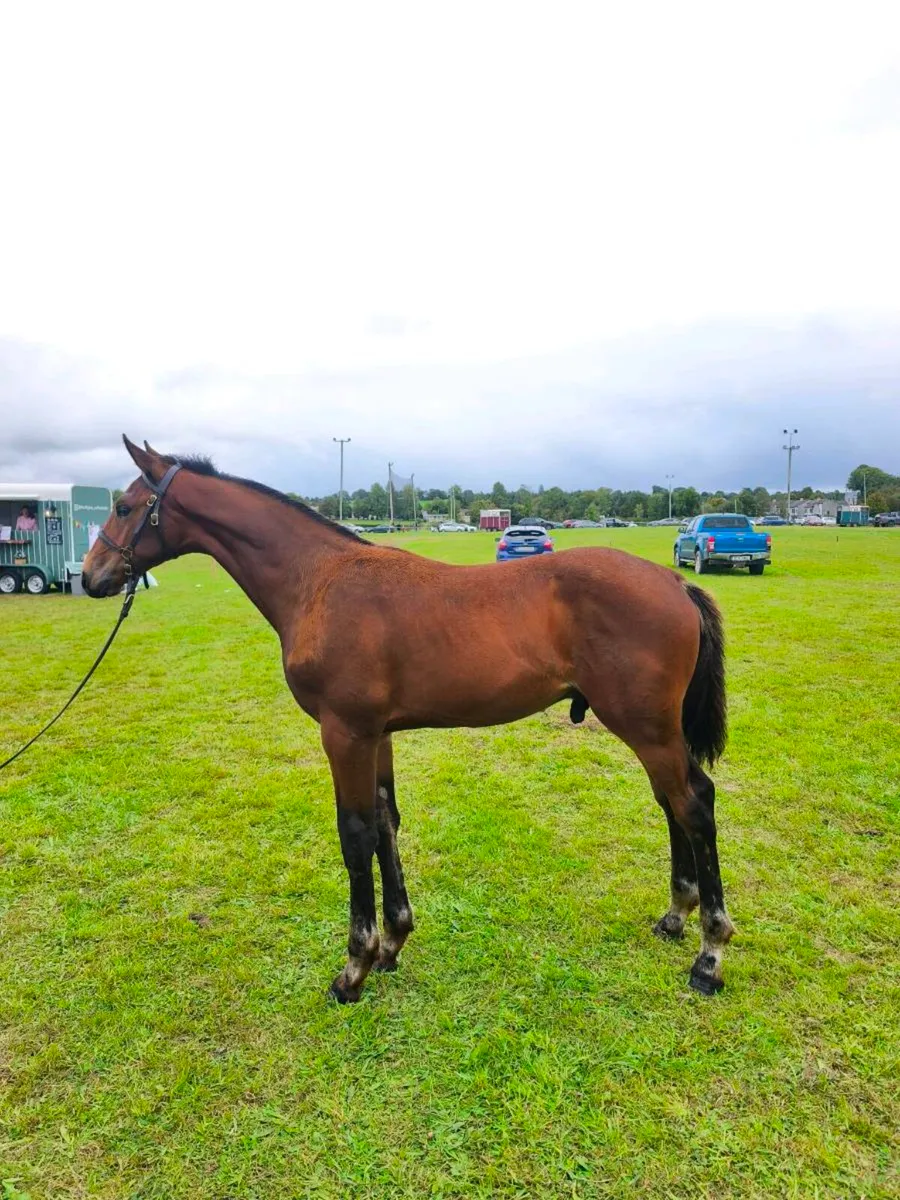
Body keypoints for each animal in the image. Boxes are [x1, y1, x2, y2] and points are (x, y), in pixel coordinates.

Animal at [82, 436, 734, 1003]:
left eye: (123, 506)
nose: (91, 577)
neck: (318, 581)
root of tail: (675, 580)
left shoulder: (343, 732)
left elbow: (355, 835)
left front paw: (355, 968)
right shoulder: (377, 735)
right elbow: (386, 824)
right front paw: (393, 943)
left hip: (646, 727)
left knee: (694, 803)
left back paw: (709, 954)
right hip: (652, 729)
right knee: (672, 802)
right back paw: (676, 916)